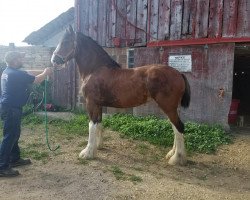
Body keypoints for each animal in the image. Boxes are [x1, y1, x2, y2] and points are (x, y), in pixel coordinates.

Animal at [51, 25, 191, 166]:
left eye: (65, 42)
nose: (54, 60)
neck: (95, 70)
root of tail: (179, 73)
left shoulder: (91, 103)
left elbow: (92, 125)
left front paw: (87, 153)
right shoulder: (99, 105)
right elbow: (99, 124)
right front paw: (98, 146)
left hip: (168, 106)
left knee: (179, 127)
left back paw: (177, 158)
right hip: (170, 107)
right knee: (175, 127)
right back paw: (172, 154)